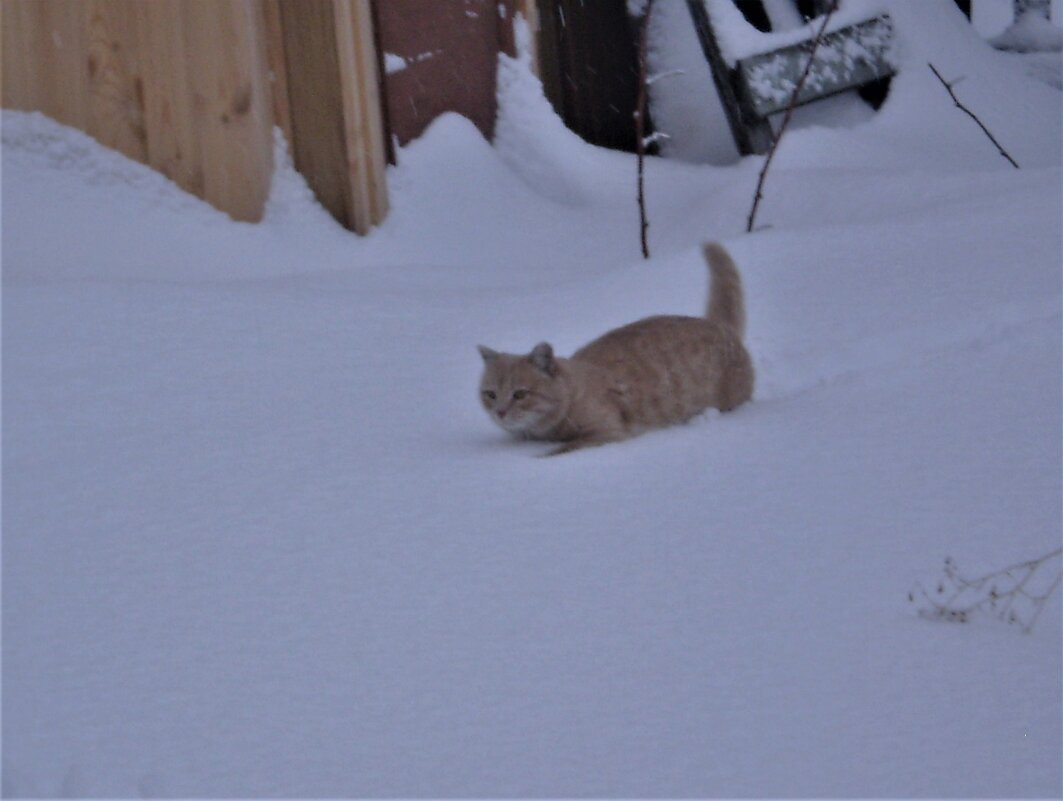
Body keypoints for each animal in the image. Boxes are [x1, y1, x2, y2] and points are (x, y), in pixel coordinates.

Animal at [478, 240, 752, 452]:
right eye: (490, 394)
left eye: (520, 394)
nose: (500, 412)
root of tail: (717, 324)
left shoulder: (607, 432)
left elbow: (558, 451)